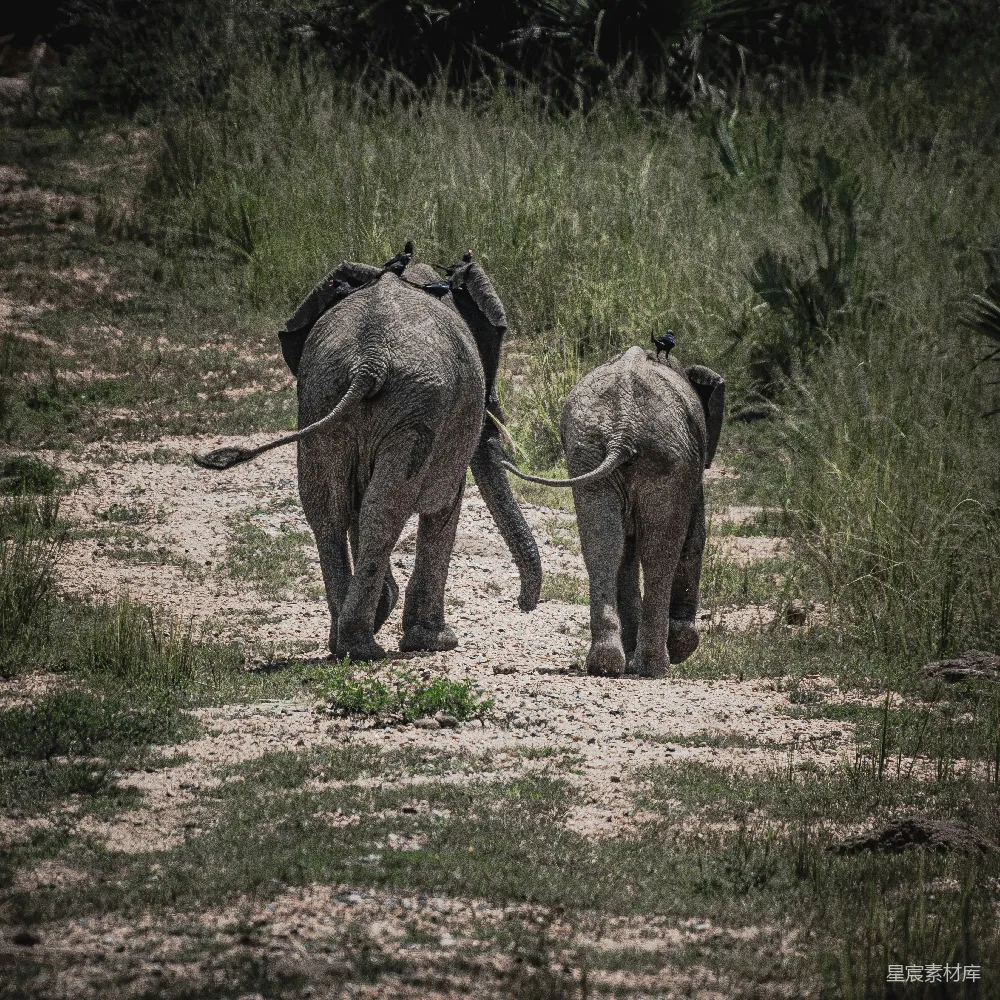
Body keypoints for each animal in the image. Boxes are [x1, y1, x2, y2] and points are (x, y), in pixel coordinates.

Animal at [194, 258, 542, 661]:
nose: (522, 605)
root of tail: (369, 362)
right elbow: (444, 504)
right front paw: (436, 641)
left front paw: (387, 609)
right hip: (414, 407)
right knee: (383, 512)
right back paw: (364, 646)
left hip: (326, 394)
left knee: (330, 511)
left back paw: (345, 641)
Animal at [503, 345, 725, 679]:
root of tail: (623, 426)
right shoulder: (692, 468)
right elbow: (693, 538)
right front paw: (682, 646)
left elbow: (622, 546)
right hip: (667, 455)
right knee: (659, 552)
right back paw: (653, 668)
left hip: (589, 451)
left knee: (604, 545)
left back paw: (606, 664)